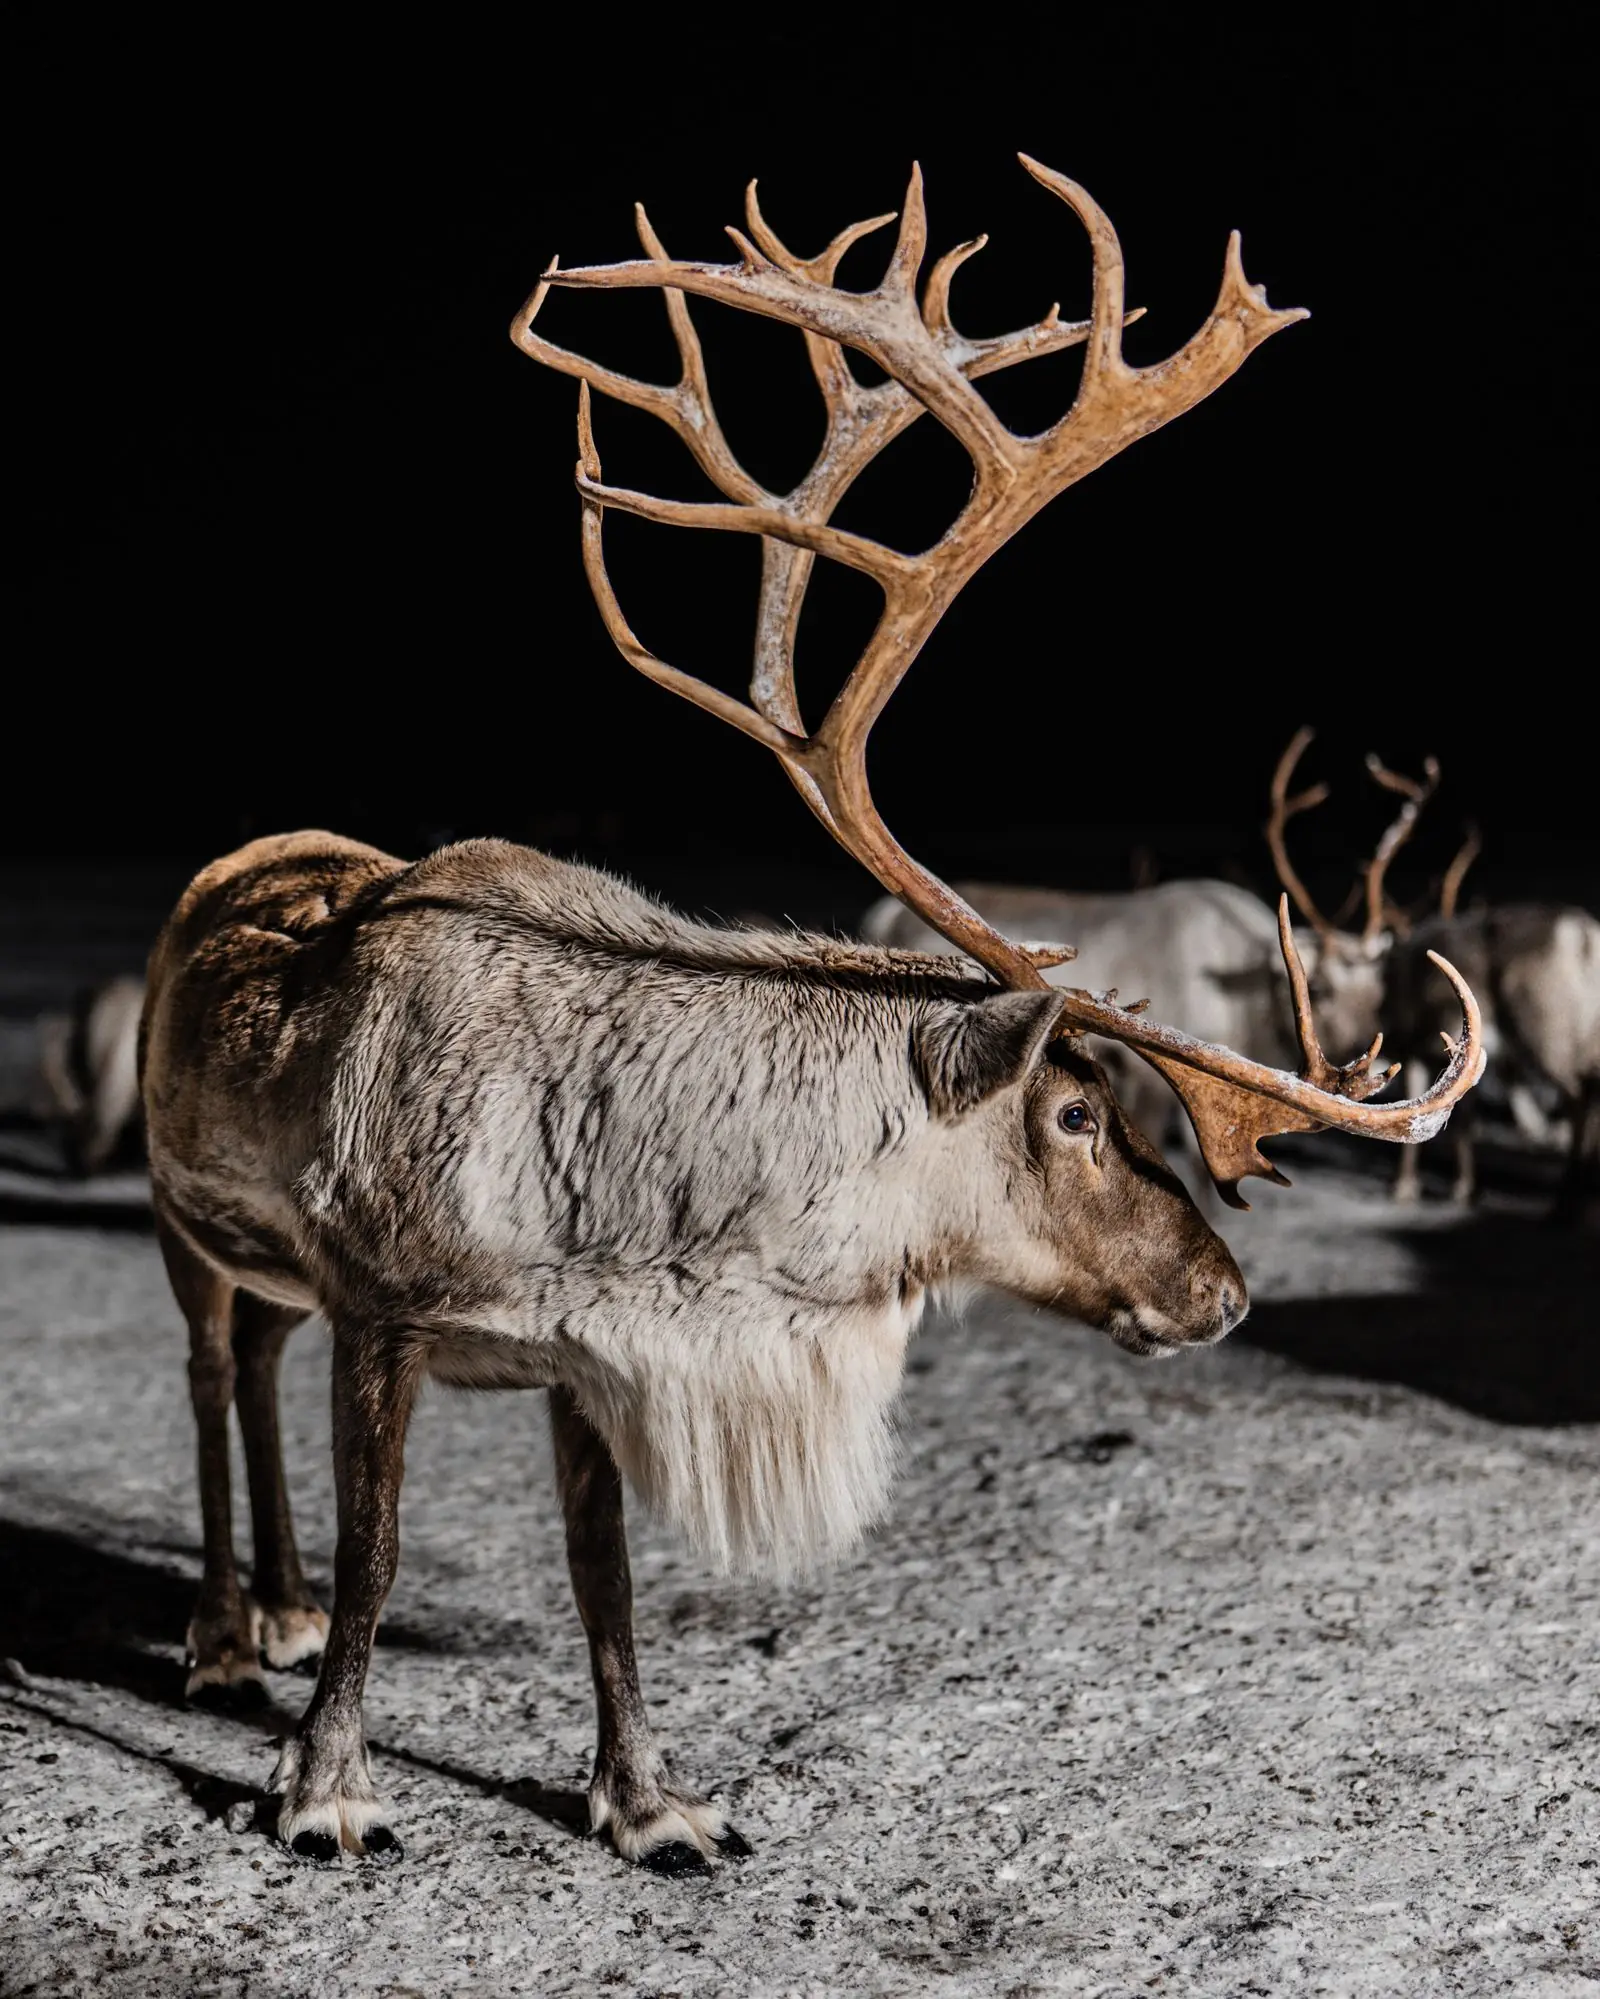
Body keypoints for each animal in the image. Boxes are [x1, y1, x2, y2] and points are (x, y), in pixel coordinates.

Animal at [140, 156, 1484, 1878]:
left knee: (253, 1357)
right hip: (186, 1222)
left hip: (270, 1266)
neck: (668, 1216)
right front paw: (324, 1787)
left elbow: (605, 1574)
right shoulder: (386, 1305)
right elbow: (387, 1551)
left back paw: (281, 1610)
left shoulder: (589, 1350)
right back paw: (229, 1633)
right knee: (208, 1371)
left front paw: (650, 1802)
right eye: (1075, 1108)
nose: (1226, 1291)